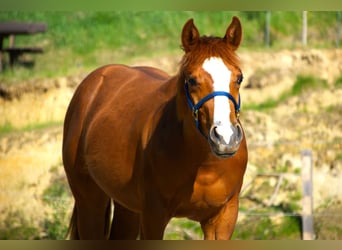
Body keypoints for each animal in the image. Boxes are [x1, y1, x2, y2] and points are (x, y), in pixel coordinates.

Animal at [62, 16, 247, 240]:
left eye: (239, 78)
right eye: (192, 80)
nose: (225, 138)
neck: (204, 164)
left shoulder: (222, 219)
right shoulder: (153, 217)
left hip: (127, 207)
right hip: (90, 201)